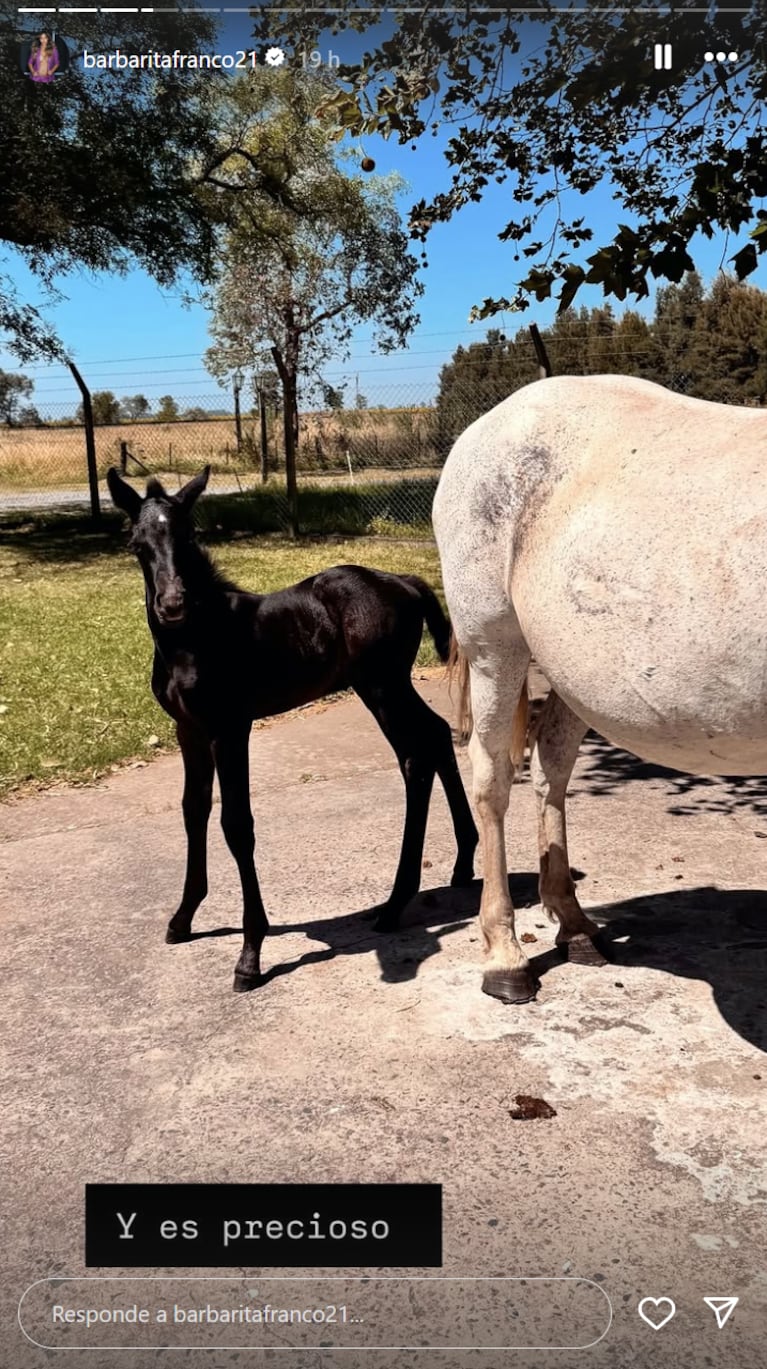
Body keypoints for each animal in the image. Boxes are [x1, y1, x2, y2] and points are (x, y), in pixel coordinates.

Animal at [108, 465, 476, 991]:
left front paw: (250, 955)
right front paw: (182, 919)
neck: (195, 638)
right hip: (385, 687)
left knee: (415, 755)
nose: (173, 604)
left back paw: (395, 903)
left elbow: (236, 824)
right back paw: (463, 862)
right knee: (438, 734)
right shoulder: (188, 730)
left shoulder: (229, 728)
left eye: (188, 535)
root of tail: (404, 581)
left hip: (380, 686)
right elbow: (193, 811)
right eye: (137, 543)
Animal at [435, 375, 767, 1007]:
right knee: (491, 780)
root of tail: (490, 421)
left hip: (575, 669)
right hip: (495, 645)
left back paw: (575, 926)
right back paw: (505, 958)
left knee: (553, 763)